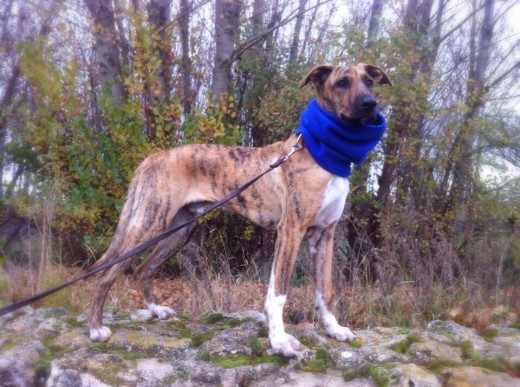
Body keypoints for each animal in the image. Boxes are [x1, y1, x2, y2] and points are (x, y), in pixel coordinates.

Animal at [88, 63, 390, 358]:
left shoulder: (324, 235)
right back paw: (95, 329)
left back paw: (155, 310)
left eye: (369, 81)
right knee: (105, 275)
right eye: (342, 83)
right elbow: (278, 293)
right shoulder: (291, 231)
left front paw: (334, 329)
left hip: (178, 231)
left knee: (143, 269)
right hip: (148, 225)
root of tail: (151, 159)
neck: (323, 153)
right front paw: (279, 341)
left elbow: (324, 290)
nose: (370, 104)